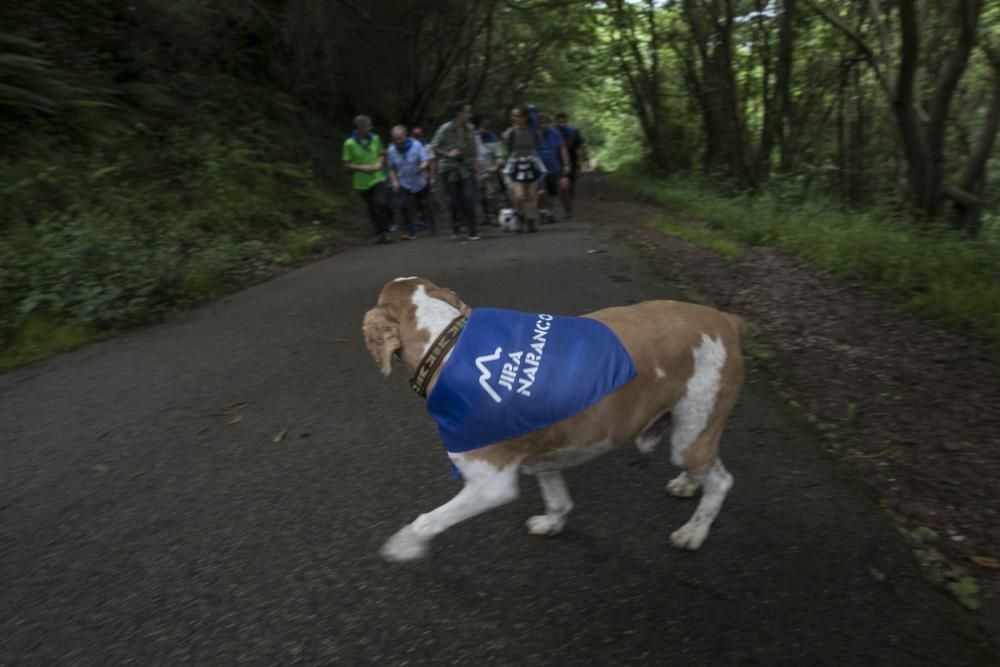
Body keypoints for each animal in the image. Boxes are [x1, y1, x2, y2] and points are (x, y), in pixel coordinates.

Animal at [360, 276, 744, 564]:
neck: (446, 346)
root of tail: (725, 319)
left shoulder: (490, 484)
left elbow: (428, 520)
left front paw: (402, 545)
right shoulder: (543, 456)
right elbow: (559, 501)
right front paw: (551, 524)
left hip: (689, 438)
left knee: (722, 481)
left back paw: (694, 532)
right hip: (690, 430)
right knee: (709, 466)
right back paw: (688, 484)